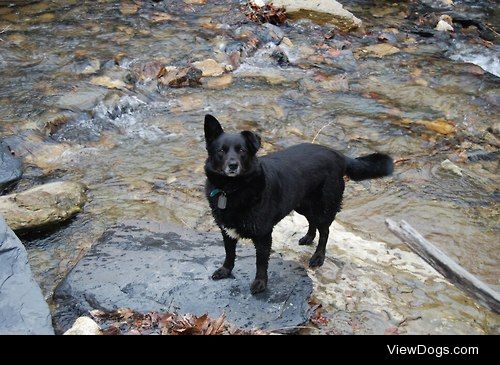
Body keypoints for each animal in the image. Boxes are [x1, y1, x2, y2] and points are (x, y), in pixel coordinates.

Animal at [204, 115, 394, 294]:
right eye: (221, 150)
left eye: (242, 150)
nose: (233, 165)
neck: (231, 189)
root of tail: (337, 154)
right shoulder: (226, 230)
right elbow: (229, 254)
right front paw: (225, 271)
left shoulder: (263, 235)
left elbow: (261, 262)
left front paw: (260, 283)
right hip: (302, 203)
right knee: (312, 221)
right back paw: (308, 237)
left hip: (325, 207)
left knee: (325, 231)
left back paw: (318, 257)